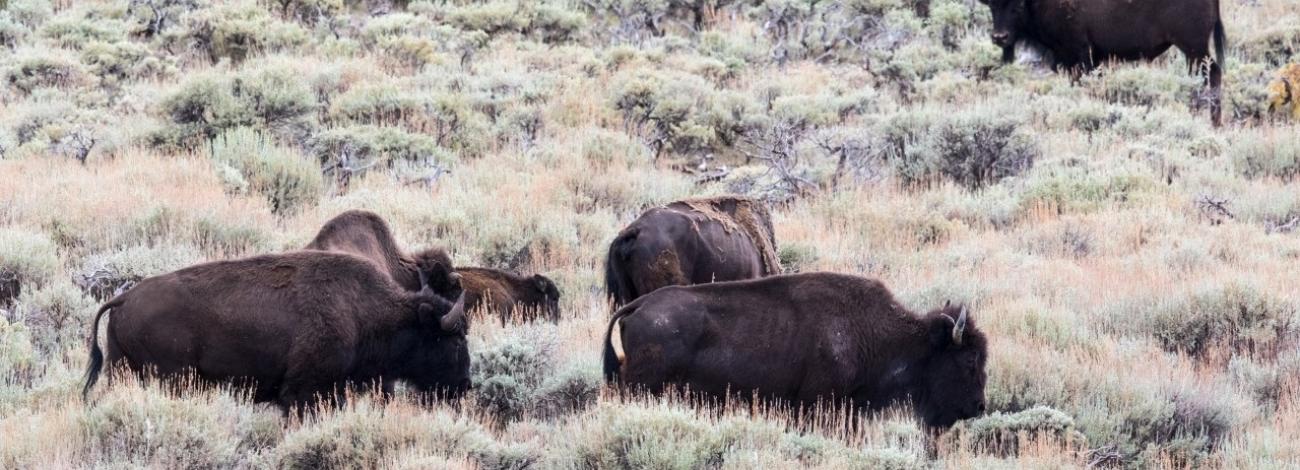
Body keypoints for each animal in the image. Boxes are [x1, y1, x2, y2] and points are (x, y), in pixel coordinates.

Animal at [81, 249, 470, 410]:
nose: (465, 386)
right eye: (452, 341)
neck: (362, 311)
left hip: (120, 368)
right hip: (171, 377)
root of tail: (125, 298)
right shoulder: (303, 391)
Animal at [982, 0, 1227, 125]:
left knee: (1212, 73)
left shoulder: (1080, 55)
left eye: (1017, 6)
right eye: (992, 5)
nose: (999, 37)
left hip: (1193, 46)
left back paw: (1212, 121)